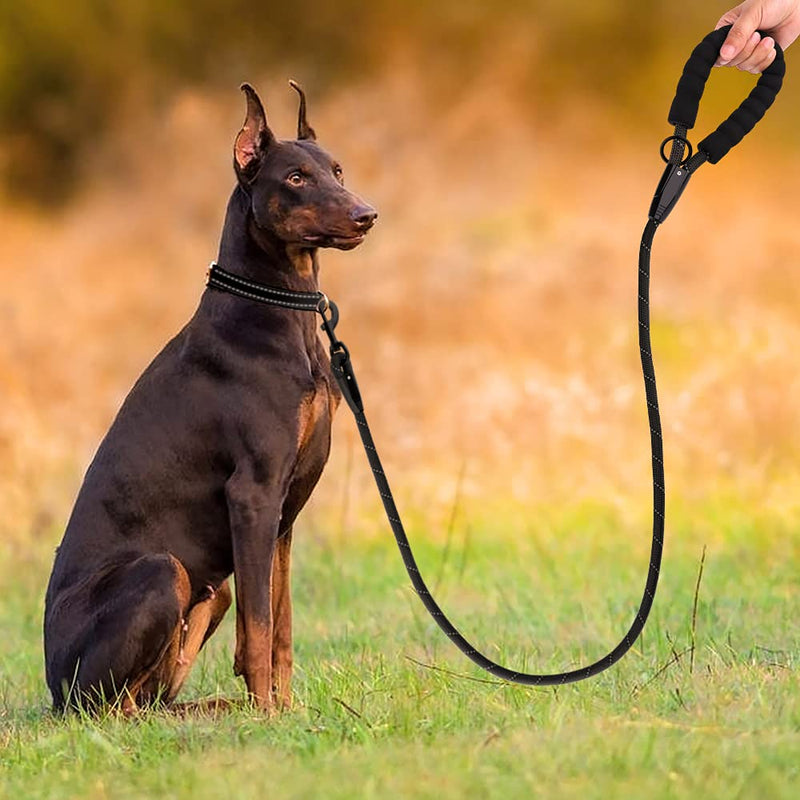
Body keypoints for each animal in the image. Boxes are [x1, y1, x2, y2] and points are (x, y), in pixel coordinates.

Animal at [43, 83, 378, 712]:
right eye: (295, 177)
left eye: (338, 169)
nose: (366, 214)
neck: (281, 310)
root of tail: (53, 689)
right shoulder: (252, 494)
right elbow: (261, 628)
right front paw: (267, 716)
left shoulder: (283, 512)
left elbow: (280, 623)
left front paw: (285, 711)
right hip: (160, 571)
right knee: (111, 707)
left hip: (210, 590)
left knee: (152, 699)